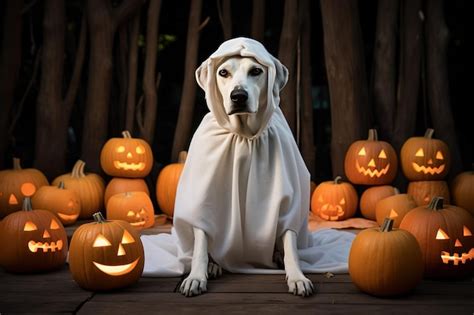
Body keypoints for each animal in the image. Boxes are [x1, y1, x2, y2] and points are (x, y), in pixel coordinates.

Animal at [178, 53, 314, 298]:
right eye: (223, 72)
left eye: (256, 71)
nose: (238, 96)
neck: (244, 135)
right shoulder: (204, 194)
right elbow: (201, 241)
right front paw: (196, 277)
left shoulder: (288, 198)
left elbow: (290, 241)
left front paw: (298, 277)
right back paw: (213, 265)